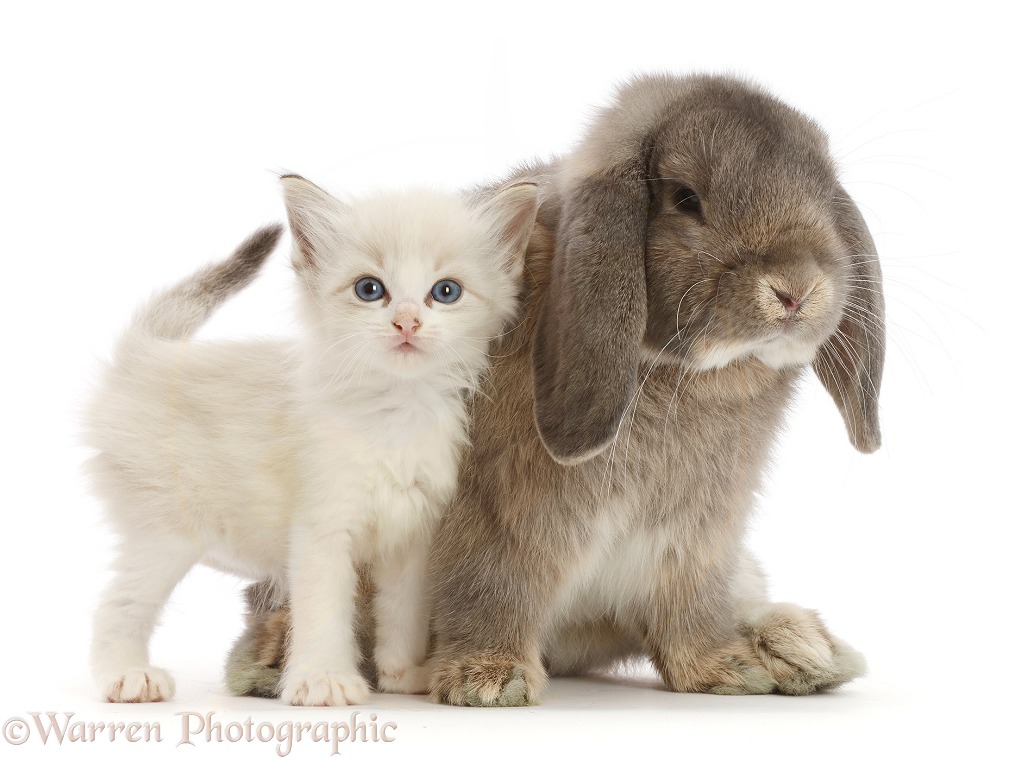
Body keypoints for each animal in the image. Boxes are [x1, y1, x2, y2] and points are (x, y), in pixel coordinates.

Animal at [84, 175, 537, 703]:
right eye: (370, 289)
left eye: (445, 292)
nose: (406, 322)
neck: (394, 413)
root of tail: (149, 355)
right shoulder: (322, 531)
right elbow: (325, 611)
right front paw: (324, 680)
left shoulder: (411, 539)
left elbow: (402, 615)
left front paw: (403, 676)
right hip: (164, 534)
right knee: (117, 604)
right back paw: (127, 676)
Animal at [224, 74, 880, 703]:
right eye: (685, 199)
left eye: (826, 193)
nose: (797, 290)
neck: (675, 374)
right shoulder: (501, 516)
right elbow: (493, 585)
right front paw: (488, 679)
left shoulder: (697, 540)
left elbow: (689, 612)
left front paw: (724, 668)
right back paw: (272, 660)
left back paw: (803, 647)